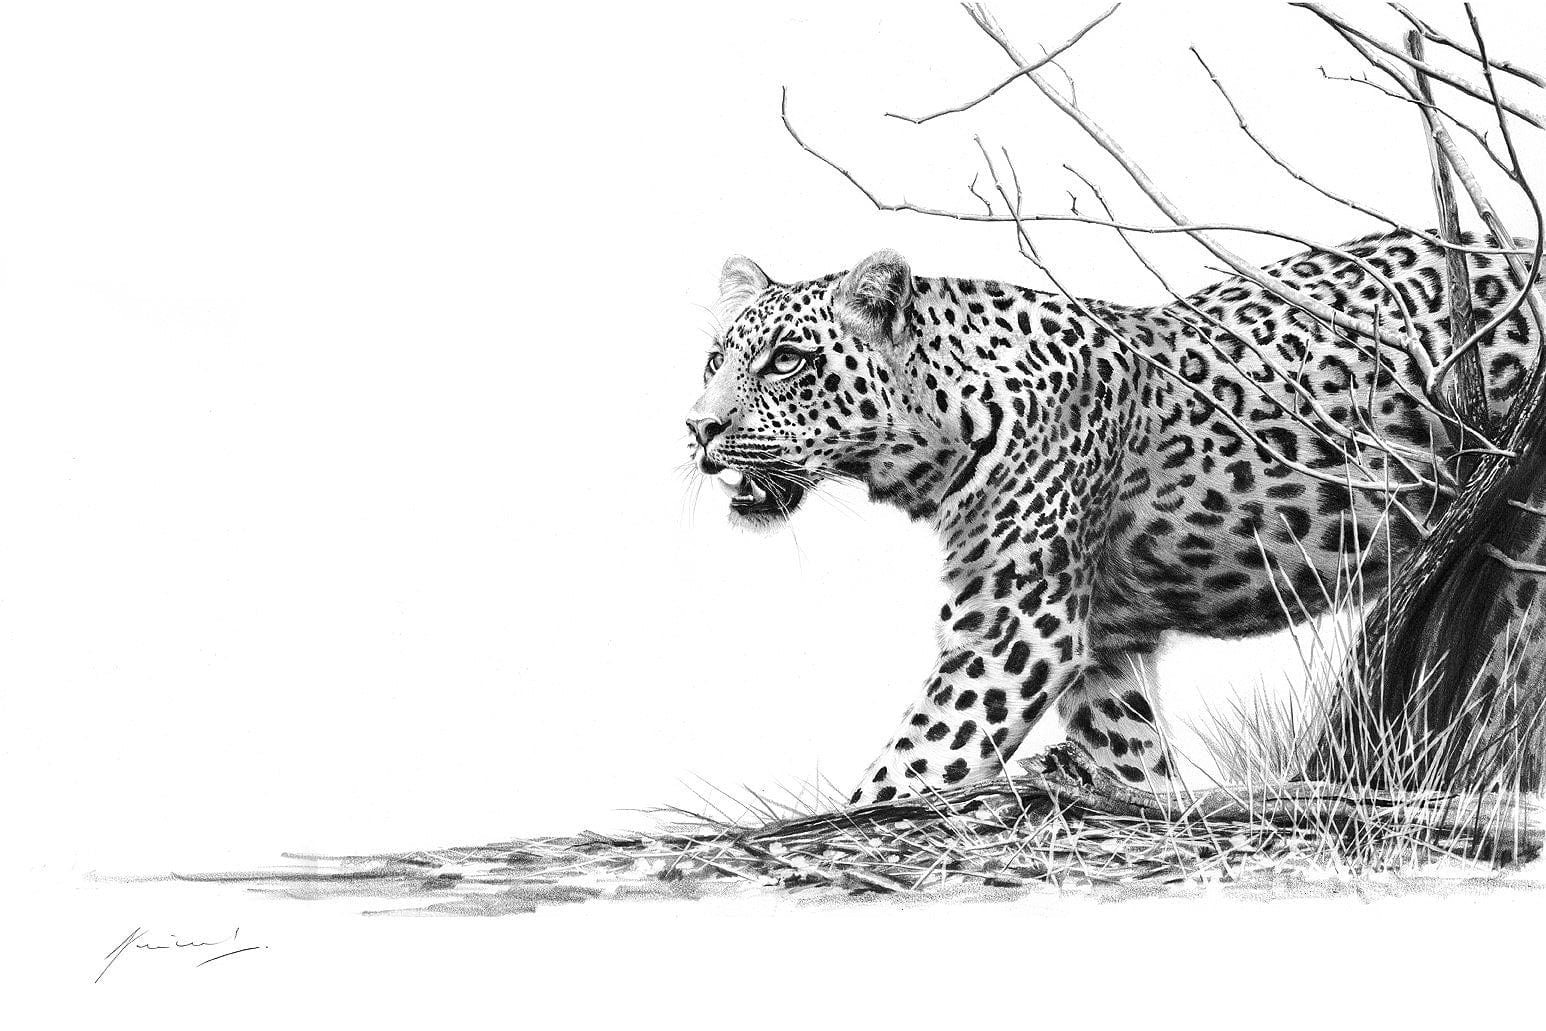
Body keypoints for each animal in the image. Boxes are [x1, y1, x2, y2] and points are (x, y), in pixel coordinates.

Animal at [685, 228, 1541, 805]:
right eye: (714, 360)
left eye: (785, 362)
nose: (698, 427)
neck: (945, 418)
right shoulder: (1106, 646)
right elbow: (1131, 754)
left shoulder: (1014, 629)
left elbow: (910, 766)